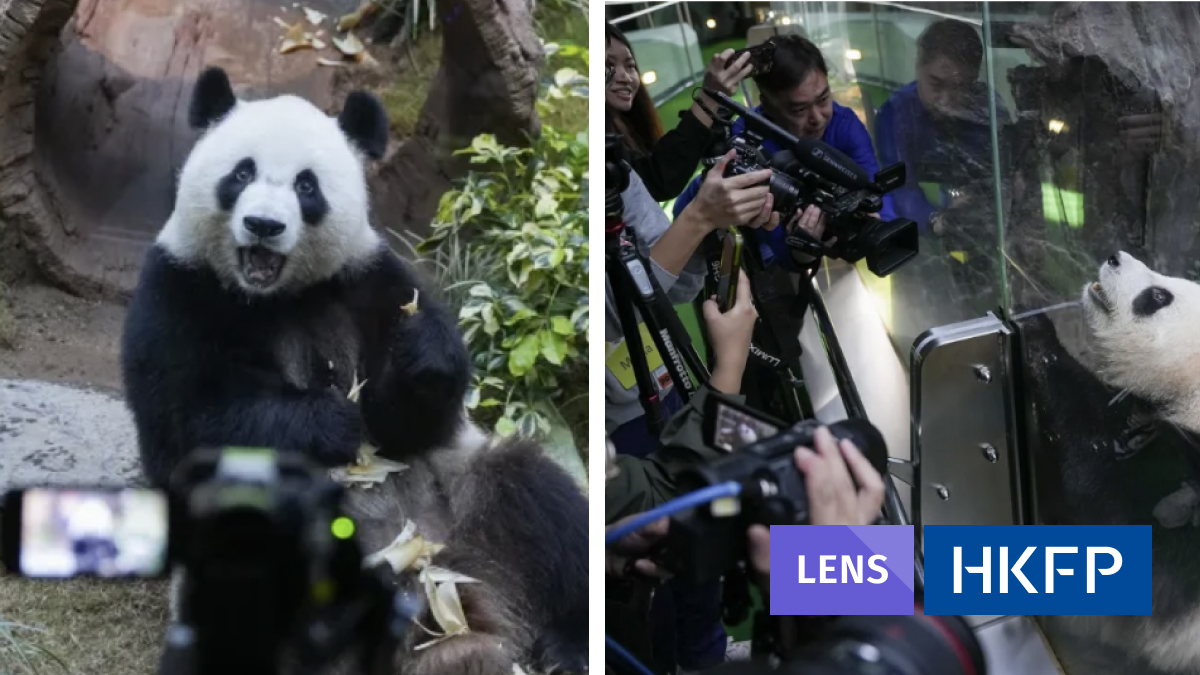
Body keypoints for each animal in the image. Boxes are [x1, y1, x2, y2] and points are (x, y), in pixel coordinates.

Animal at [119, 64, 588, 672]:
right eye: (241, 173)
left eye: (306, 186)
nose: (263, 226)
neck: (275, 296)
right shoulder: (176, 290)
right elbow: (184, 425)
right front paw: (326, 423)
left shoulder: (369, 278)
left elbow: (409, 423)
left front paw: (421, 359)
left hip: (472, 499)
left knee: (540, 504)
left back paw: (565, 644)